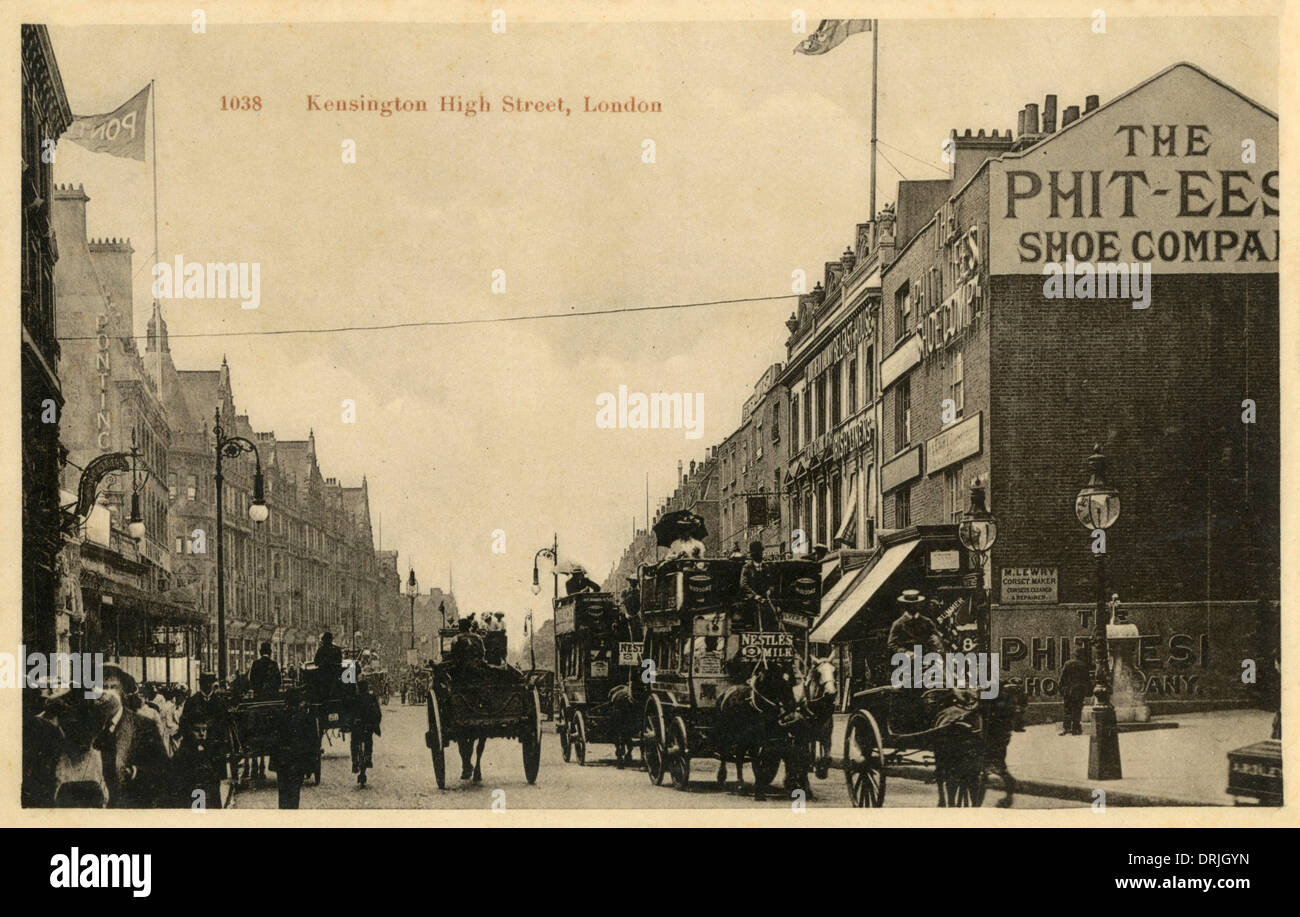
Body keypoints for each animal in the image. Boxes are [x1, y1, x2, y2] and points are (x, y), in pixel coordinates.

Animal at [712, 658, 790, 801]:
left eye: (788, 678)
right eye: (776, 679)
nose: (790, 703)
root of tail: (725, 693)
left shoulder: (765, 740)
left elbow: (760, 760)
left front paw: (760, 787)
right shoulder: (751, 739)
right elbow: (754, 761)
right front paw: (758, 792)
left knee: (739, 756)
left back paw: (740, 784)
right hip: (727, 732)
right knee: (726, 754)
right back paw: (724, 779)